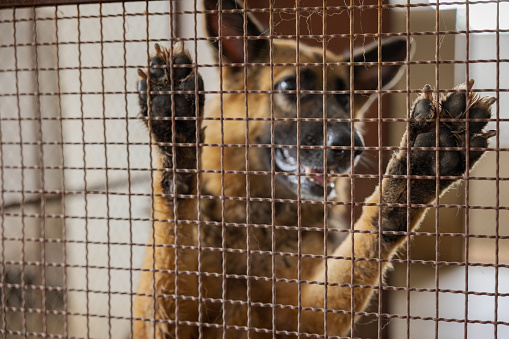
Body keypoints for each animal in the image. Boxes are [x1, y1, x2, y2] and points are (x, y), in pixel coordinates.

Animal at [133, 0, 494, 338]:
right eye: (289, 87)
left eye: (345, 100)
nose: (350, 145)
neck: (260, 222)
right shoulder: (161, 322)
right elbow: (173, 227)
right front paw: (175, 130)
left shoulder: (304, 320)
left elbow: (359, 252)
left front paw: (415, 174)